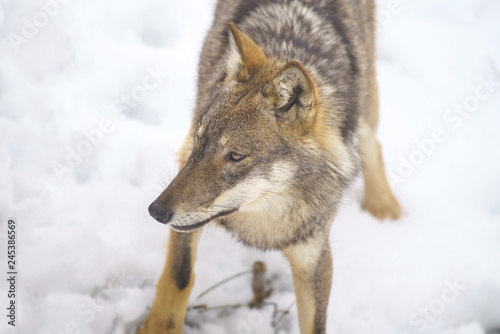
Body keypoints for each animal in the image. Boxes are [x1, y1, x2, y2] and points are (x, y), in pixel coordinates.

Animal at [138, 0, 402, 334]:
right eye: (201, 140)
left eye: (235, 156)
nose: (156, 211)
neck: (263, 219)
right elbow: (179, 277)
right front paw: (157, 326)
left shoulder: (314, 255)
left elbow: (315, 324)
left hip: (367, 98)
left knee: (371, 144)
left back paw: (384, 209)